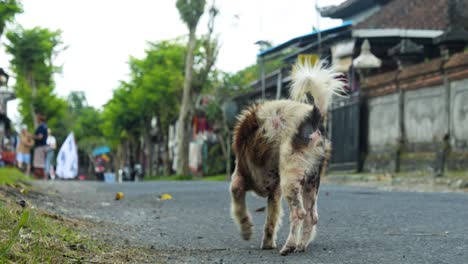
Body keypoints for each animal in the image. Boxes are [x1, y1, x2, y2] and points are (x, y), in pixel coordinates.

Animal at [230, 60, 344, 255]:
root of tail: (314, 114)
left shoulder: (238, 180)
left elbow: (239, 208)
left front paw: (246, 230)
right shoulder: (274, 193)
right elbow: (271, 221)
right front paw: (268, 243)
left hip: (290, 180)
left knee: (299, 214)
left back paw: (289, 246)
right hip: (310, 182)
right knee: (311, 216)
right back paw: (300, 246)